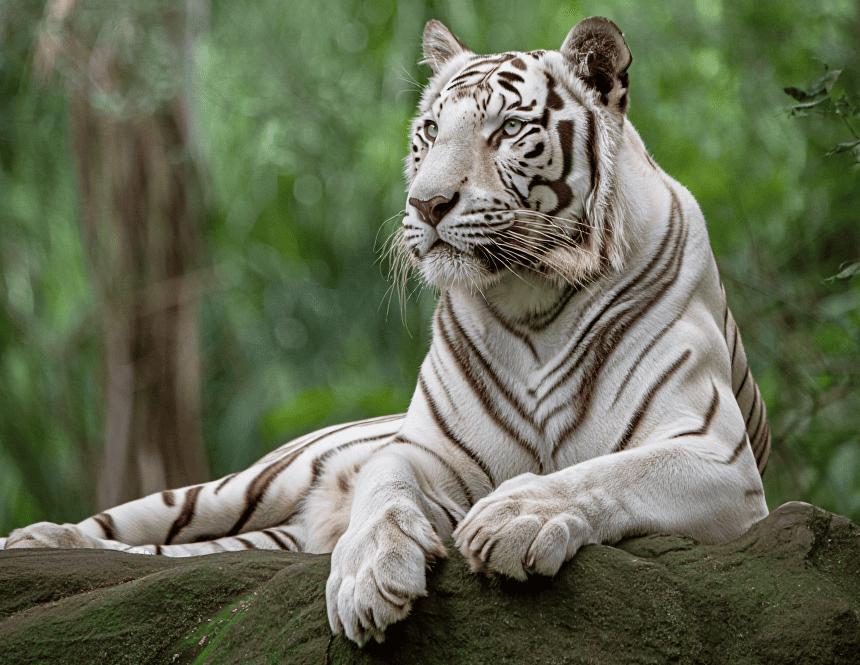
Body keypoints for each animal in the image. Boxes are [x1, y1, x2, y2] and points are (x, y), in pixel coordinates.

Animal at [3, 17, 771, 647]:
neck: (533, 301)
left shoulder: (718, 456)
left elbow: (605, 472)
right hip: (254, 480)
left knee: (174, 555)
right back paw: (41, 538)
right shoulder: (422, 451)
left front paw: (512, 516)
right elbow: (383, 493)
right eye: (430, 130)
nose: (427, 204)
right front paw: (366, 577)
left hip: (267, 536)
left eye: (508, 130)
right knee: (151, 521)